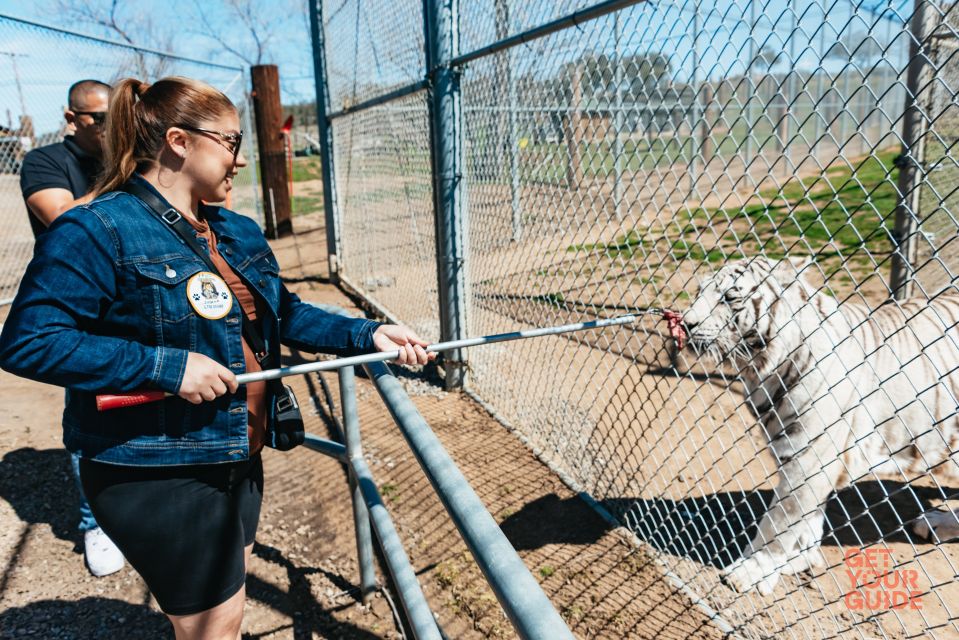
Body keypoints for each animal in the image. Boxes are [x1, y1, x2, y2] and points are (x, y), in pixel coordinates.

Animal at [684, 256, 959, 596]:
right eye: (699, 291)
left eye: (729, 297)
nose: (685, 323)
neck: (762, 370)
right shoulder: (798, 453)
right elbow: (806, 519)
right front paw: (800, 558)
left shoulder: (809, 457)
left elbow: (778, 521)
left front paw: (752, 570)